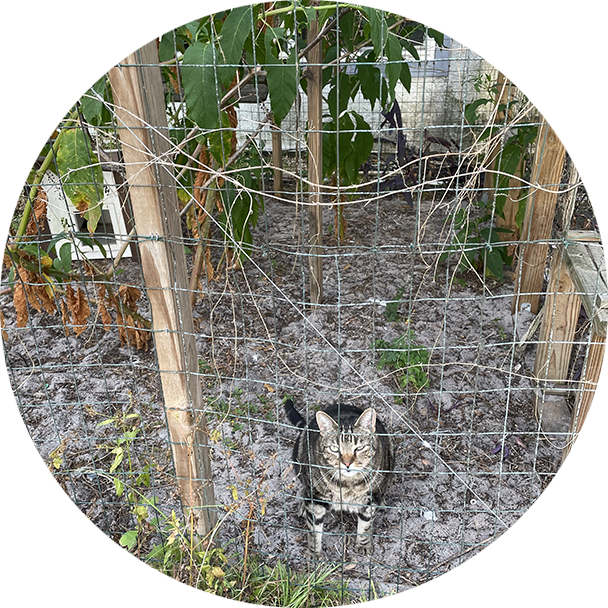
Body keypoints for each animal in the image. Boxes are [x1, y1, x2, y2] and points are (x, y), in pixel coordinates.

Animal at [284, 400, 394, 556]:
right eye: (335, 449)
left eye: (359, 448)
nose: (347, 463)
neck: (348, 486)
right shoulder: (316, 499)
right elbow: (314, 531)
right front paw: (314, 553)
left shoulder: (371, 499)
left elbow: (365, 525)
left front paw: (363, 544)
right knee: (303, 487)